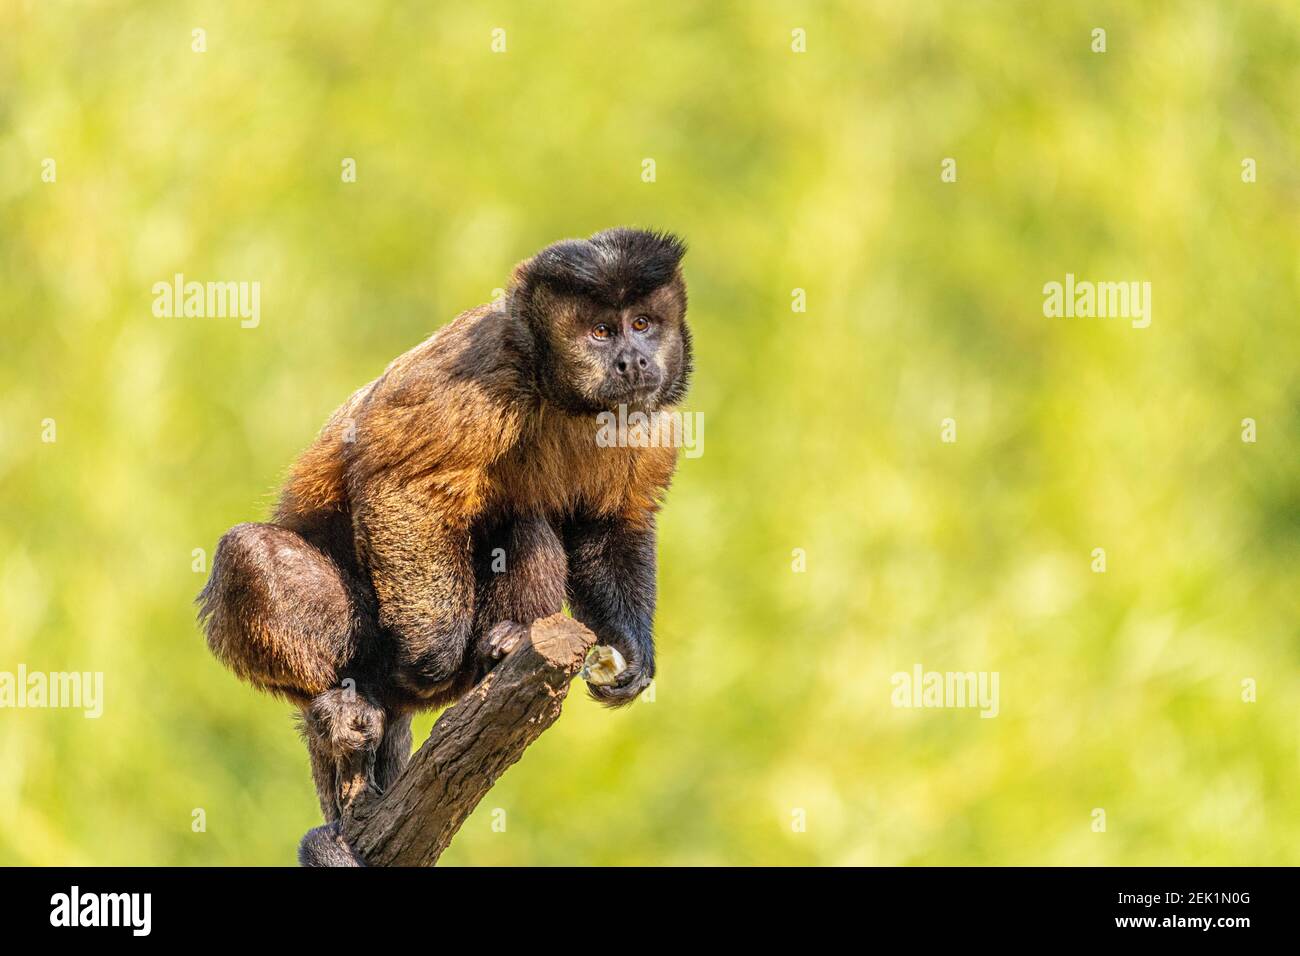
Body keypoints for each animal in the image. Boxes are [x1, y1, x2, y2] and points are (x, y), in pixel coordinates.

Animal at [197, 226, 691, 868]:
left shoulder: (652, 420)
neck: (561, 396)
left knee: (521, 522)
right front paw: (433, 652)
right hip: (364, 638)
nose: (634, 358)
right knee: (249, 554)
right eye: (602, 332)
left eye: (642, 324)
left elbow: (610, 527)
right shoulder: (482, 370)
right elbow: (403, 487)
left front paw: (631, 653)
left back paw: (504, 641)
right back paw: (341, 699)